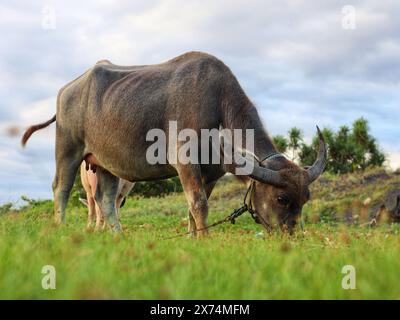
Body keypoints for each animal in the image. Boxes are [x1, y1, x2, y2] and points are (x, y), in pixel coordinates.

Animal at [21, 50, 326, 235]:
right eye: (282, 198)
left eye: (305, 198)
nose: (292, 235)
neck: (216, 101)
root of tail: (67, 89)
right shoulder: (185, 161)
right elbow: (199, 204)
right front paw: (205, 240)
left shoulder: (210, 173)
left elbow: (194, 207)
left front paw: (194, 238)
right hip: (68, 149)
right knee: (61, 189)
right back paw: (60, 228)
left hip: (106, 164)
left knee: (106, 200)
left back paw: (118, 236)